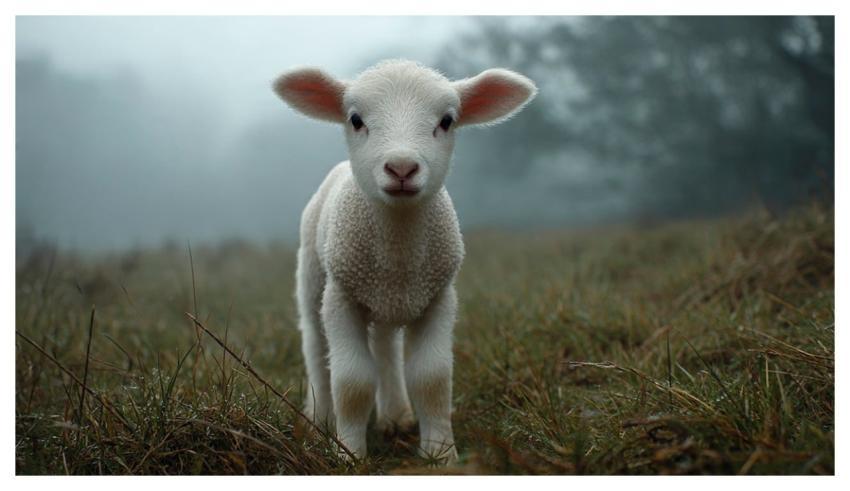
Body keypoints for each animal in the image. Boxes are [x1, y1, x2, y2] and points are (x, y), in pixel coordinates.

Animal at [272, 60, 536, 462]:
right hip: (314, 279)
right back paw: (318, 421)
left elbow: (432, 378)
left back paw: (396, 416)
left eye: (447, 120)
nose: (401, 168)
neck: (397, 252)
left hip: (385, 303)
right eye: (355, 119)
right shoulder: (342, 298)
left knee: (385, 348)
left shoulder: (439, 298)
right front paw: (348, 455)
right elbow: (351, 381)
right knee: (316, 350)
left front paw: (441, 455)